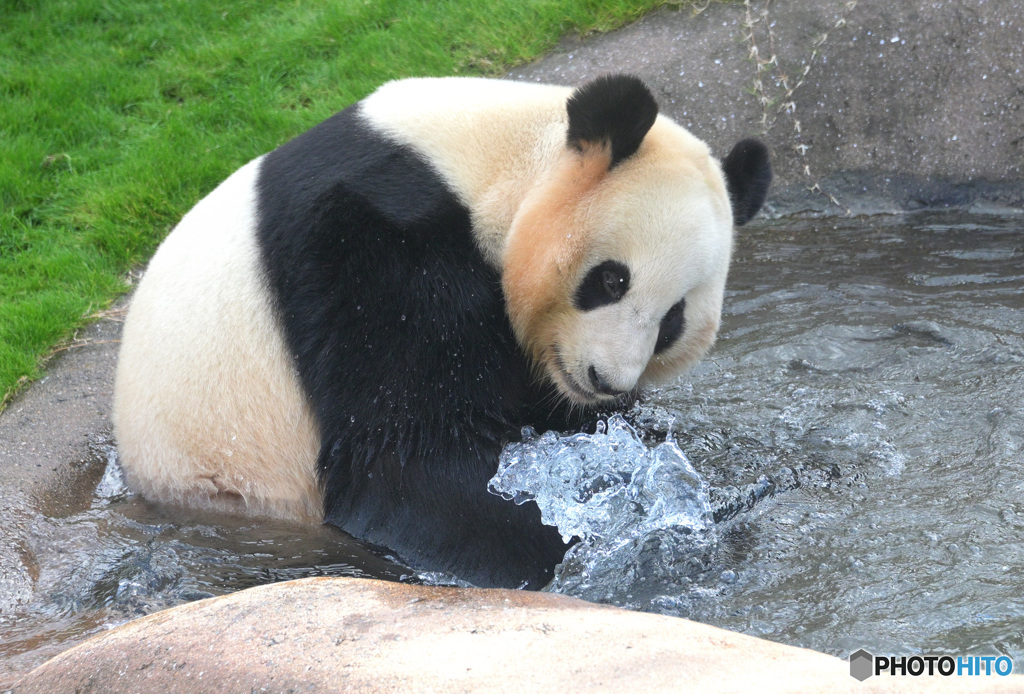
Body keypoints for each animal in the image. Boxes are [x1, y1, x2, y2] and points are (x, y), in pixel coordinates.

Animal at [114, 73, 770, 589]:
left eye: (673, 320)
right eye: (611, 280)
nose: (605, 380)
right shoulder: (366, 246)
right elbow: (402, 455)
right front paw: (585, 543)